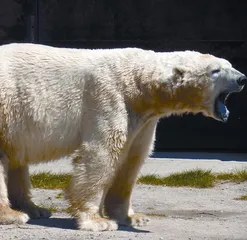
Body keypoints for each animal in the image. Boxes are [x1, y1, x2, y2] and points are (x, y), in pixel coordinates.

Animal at [0, 43, 245, 231]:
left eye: (229, 65)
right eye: (215, 70)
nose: (242, 78)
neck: (138, 82)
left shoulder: (142, 120)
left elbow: (131, 160)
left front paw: (132, 217)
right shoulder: (108, 99)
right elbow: (101, 154)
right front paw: (98, 221)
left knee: (16, 158)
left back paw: (35, 209)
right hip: (7, 106)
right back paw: (13, 215)